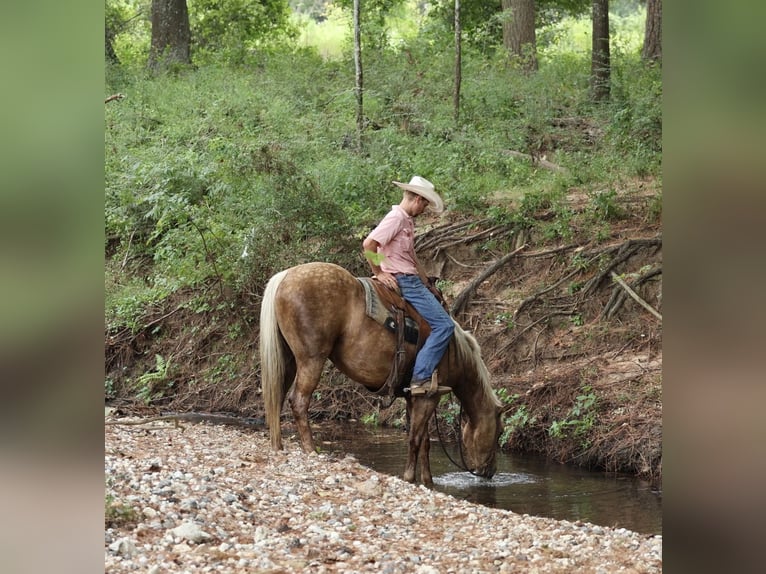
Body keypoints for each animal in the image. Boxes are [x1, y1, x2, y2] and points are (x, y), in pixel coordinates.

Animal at [260, 262, 508, 486]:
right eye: (499, 432)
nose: (490, 472)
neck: (454, 351)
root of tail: (285, 276)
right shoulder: (430, 397)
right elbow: (415, 439)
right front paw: (409, 478)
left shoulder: (416, 396)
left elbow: (425, 441)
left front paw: (428, 481)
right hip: (312, 360)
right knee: (299, 401)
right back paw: (311, 450)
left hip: (289, 361)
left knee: (277, 397)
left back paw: (278, 446)